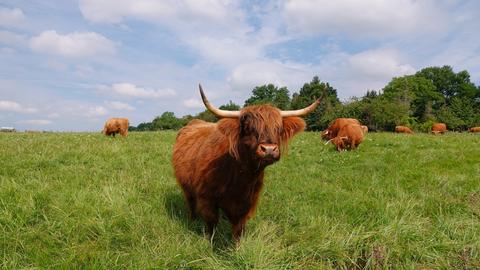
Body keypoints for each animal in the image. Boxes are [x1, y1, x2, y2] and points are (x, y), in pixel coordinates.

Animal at [172, 84, 322, 240]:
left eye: (278, 129)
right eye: (249, 128)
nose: (269, 149)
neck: (241, 178)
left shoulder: (247, 204)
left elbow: (238, 230)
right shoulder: (206, 199)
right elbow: (211, 225)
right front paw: (209, 241)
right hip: (186, 186)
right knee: (190, 203)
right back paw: (192, 220)